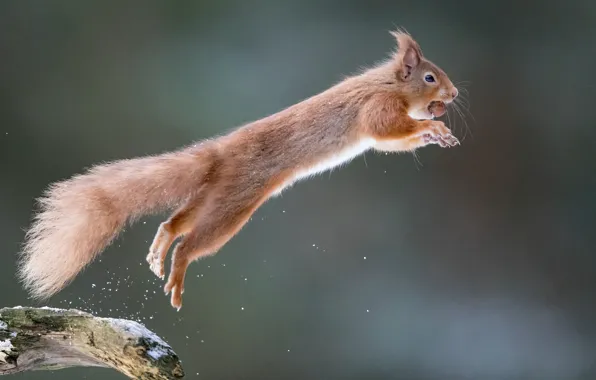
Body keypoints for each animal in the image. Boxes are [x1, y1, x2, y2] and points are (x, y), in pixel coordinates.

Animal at [17, 29, 460, 308]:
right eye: (429, 77)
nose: (454, 94)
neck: (389, 84)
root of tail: (221, 153)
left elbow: (392, 141)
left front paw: (436, 136)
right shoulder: (375, 109)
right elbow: (386, 130)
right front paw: (434, 128)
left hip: (215, 194)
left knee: (174, 223)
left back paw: (159, 251)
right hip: (234, 204)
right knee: (191, 243)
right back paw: (176, 276)